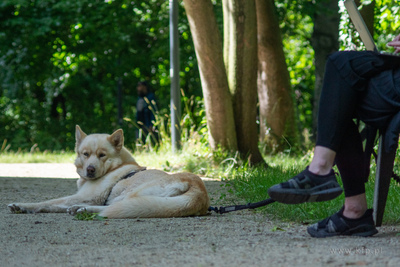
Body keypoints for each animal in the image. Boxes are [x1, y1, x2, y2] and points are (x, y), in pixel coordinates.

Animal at [7, 125, 211, 218]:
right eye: (85, 154)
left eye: (102, 155)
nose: (90, 170)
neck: (117, 166)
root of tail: (199, 192)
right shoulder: (83, 196)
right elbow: (53, 205)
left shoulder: (89, 196)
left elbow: (47, 202)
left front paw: (22, 205)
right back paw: (78, 209)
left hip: (130, 195)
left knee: (110, 209)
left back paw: (83, 210)